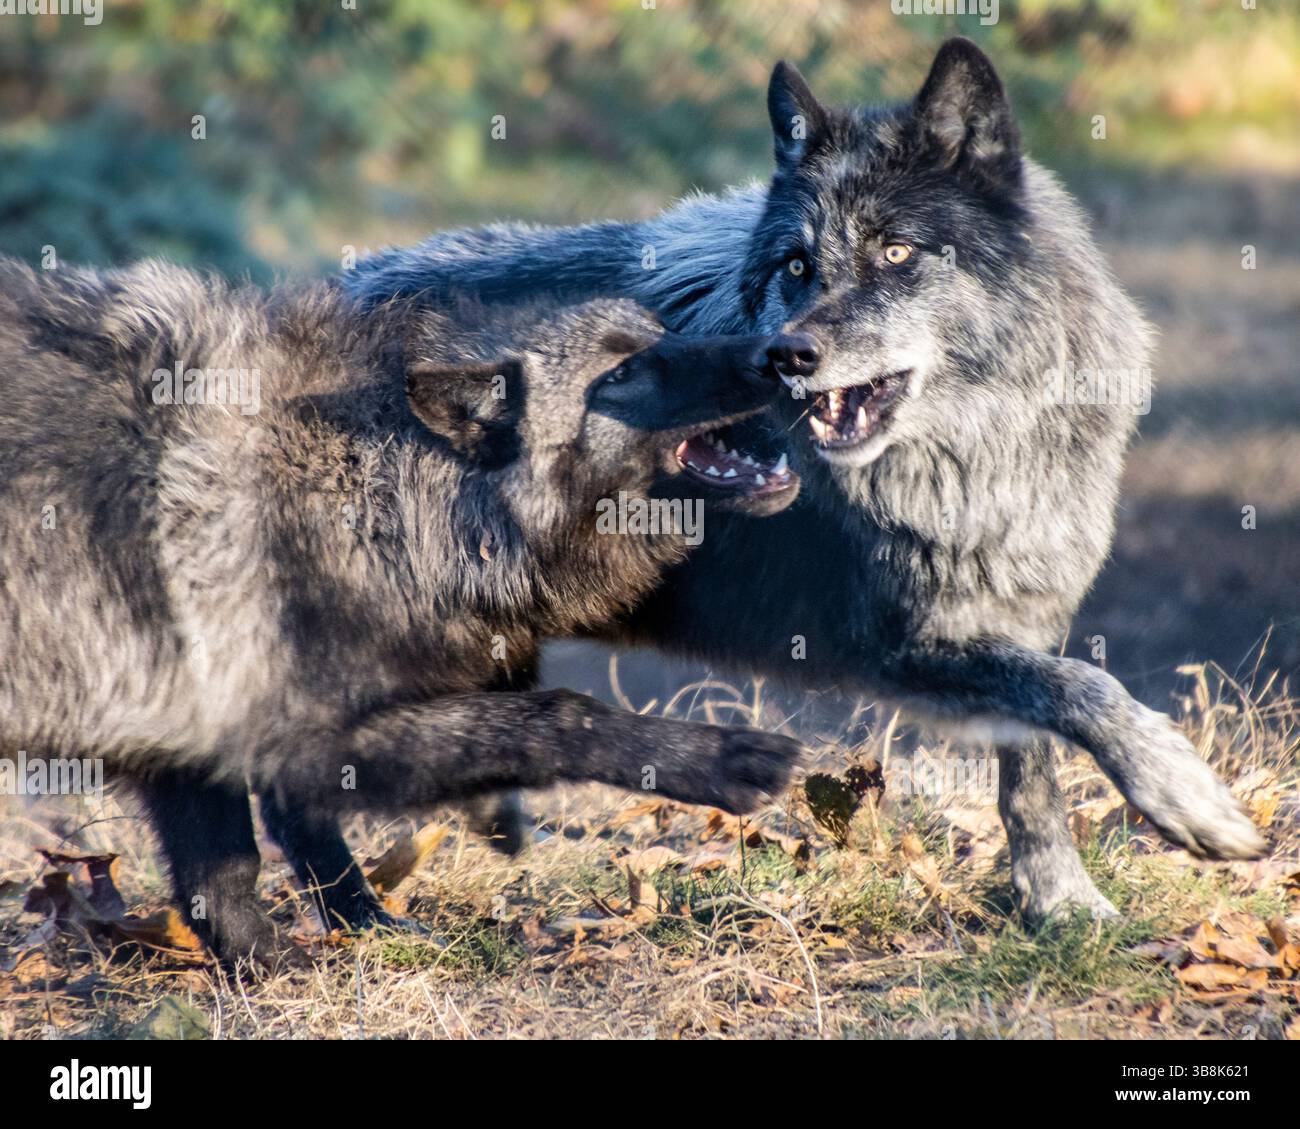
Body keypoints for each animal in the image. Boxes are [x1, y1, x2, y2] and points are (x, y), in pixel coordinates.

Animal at [0, 256, 808, 968]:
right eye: (621, 373)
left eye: (663, 335)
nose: (780, 356)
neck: (369, 476)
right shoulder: (302, 737)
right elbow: (555, 714)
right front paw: (719, 759)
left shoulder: (200, 734)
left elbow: (238, 867)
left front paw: (321, 943)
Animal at [346, 38, 1266, 920]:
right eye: (796, 265)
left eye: (895, 250)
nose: (788, 356)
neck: (980, 449)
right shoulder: (896, 643)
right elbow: (1087, 688)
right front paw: (1190, 799)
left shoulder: (1016, 616)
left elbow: (1035, 763)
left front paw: (1061, 904)